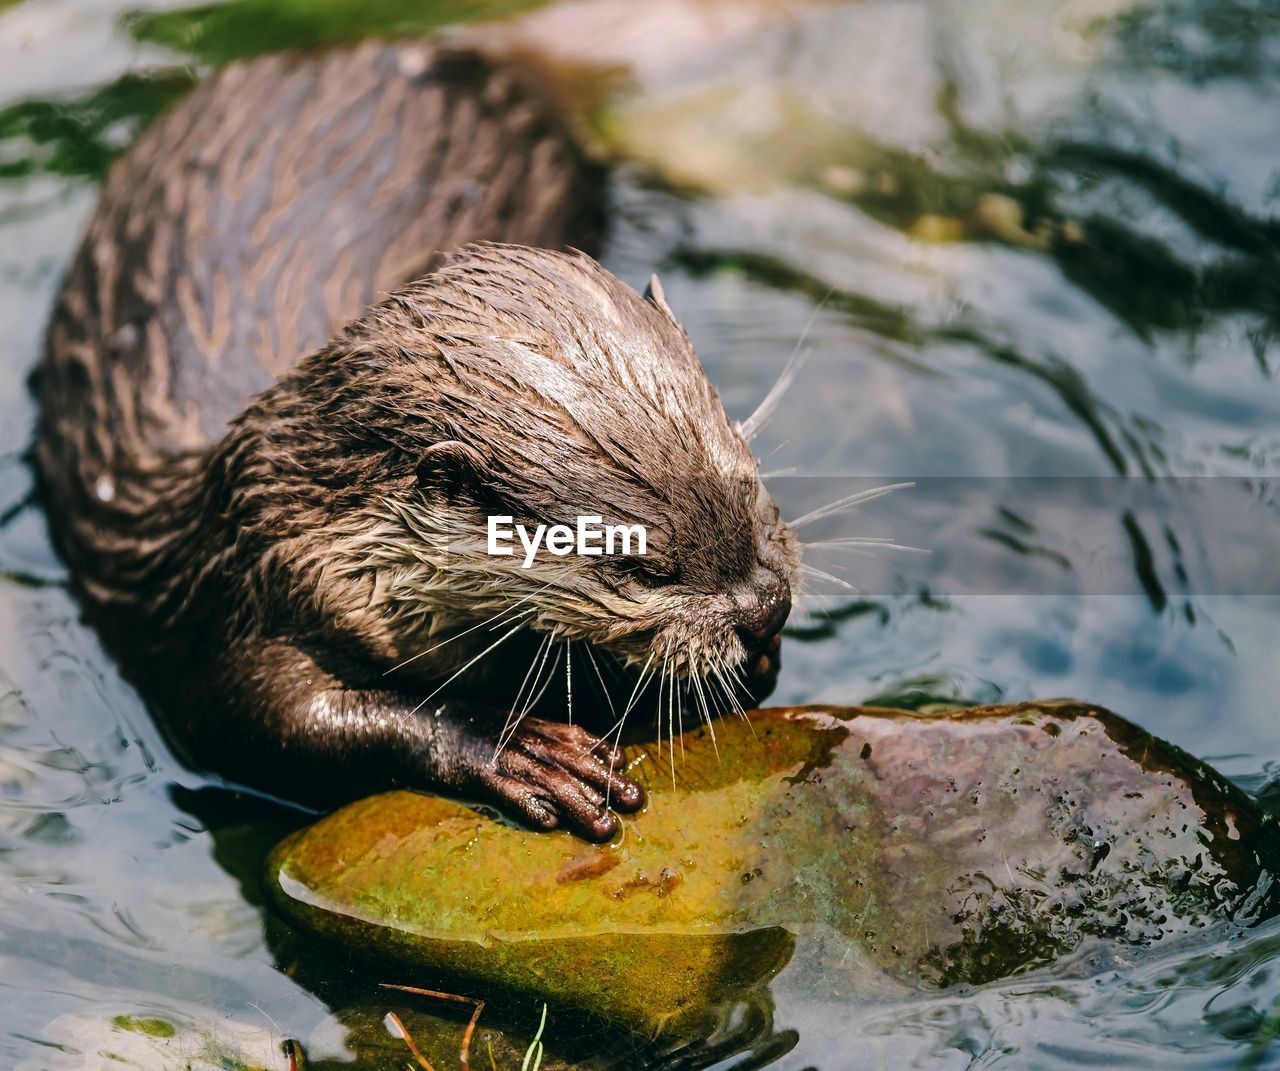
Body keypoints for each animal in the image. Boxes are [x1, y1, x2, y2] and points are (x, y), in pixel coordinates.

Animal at [32, 41, 798, 839]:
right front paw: (517, 746)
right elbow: (273, 725)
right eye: (642, 567)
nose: (767, 607)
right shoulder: (233, 613)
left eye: (748, 480)